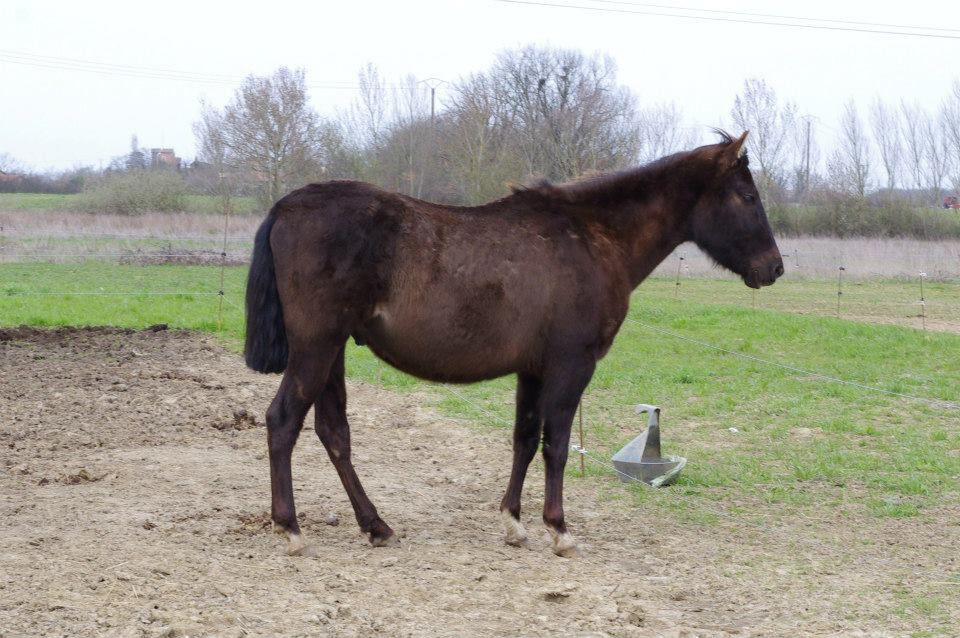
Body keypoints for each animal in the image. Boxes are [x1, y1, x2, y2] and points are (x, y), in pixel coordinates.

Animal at [244, 130, 783, 558]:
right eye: (747, 196)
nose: (774, 267)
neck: (591, 235)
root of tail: (287, 206)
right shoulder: (572, 365)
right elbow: (557, 445)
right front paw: (558, 529)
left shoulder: (533, 369)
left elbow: (524, 439)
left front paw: (513, 522)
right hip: (316, 350)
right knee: (283, 422)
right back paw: (291, 527)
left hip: (332, 352)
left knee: (334, 433)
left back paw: (375, 525)